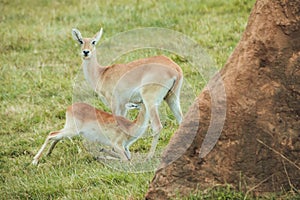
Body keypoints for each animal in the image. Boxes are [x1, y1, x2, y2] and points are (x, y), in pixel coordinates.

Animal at [72, 27, 184, 158]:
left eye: (94, 42)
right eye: (80, 41)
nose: (86, 52)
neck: (102, 74)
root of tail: (175, 68)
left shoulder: (115, 104)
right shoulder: (124, 106)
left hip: (150, 101)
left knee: (157, 127)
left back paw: (148, 157)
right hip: (172, 98)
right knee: (181, 121)